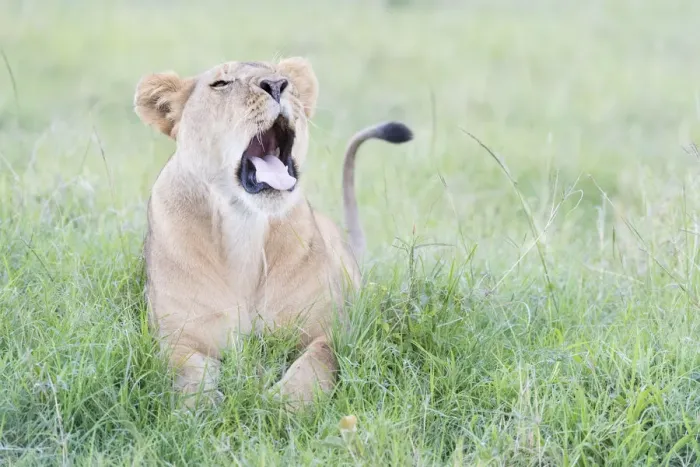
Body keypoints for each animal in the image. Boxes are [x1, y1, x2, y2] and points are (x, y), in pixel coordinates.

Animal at [133, 57, 412, 409]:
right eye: (221, 83)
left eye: (284, 78)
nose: (277, 85)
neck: (244, 225)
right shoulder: (178, 339)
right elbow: (188, 378)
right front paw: (202, 411)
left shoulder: (329, 331)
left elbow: (315, 366)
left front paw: (281, 408)